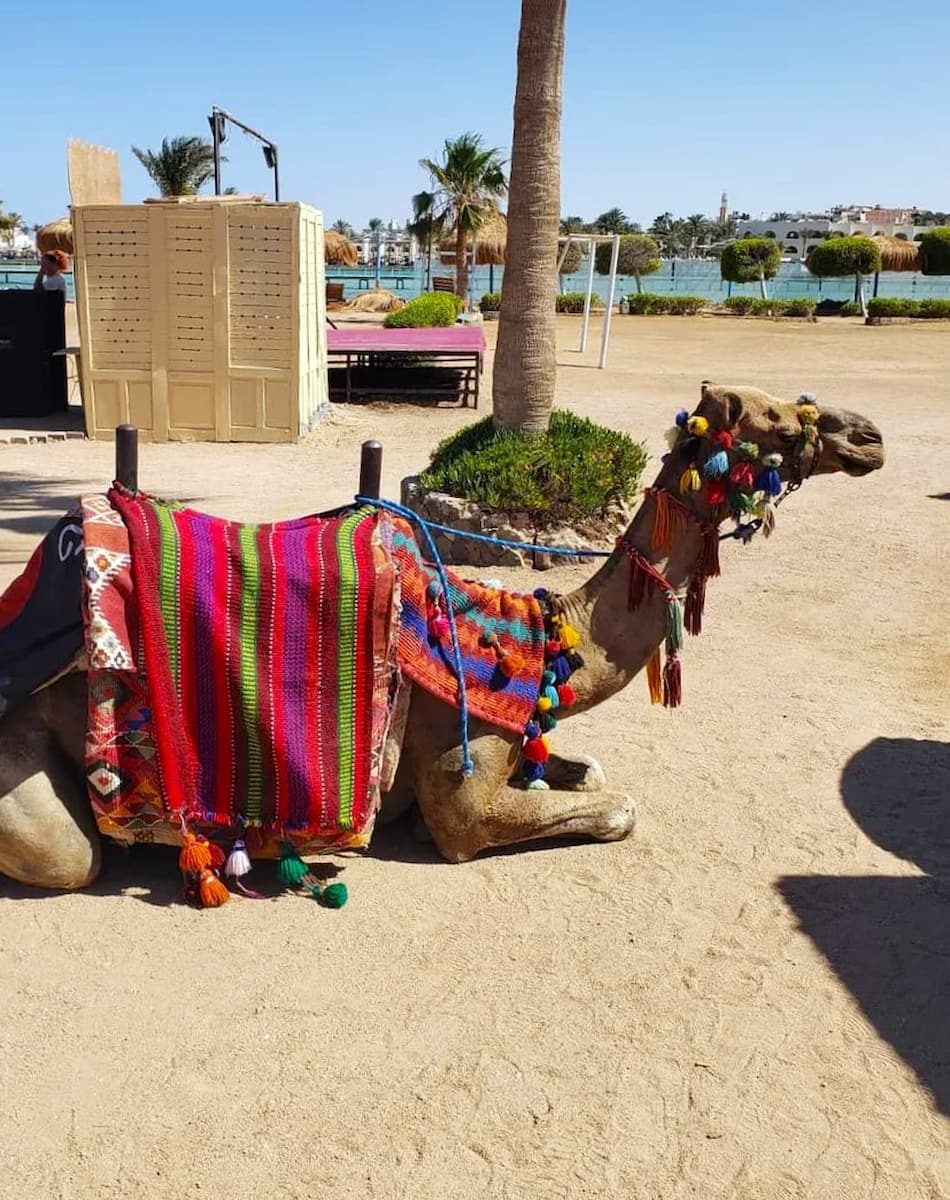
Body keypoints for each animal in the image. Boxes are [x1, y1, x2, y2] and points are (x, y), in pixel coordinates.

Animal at [0, 383, 884, 890]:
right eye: (779, 421)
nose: (868, 436)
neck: (541, 637)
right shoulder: (462, 788)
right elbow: (612, 807)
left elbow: (591, 771)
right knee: (71, 857)